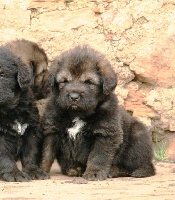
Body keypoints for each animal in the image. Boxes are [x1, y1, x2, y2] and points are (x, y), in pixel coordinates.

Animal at [0, 39, 49, 182]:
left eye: (2, 74)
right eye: (42, 72)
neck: (12, 108)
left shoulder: (31, 130)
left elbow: (30, 153)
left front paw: (33, 170)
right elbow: (5, 156)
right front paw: (13, 173)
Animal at [41, 45, 156, 181]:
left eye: (89, 82)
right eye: (64, 81)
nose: (74, 97)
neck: (77, 114)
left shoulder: (105, 133)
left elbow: (98, 155)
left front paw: (94, 172)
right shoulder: (51, 130)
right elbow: (46, 153)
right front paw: (39, 170)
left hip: (138, 137)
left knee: (139, 166)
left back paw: (115, 170)